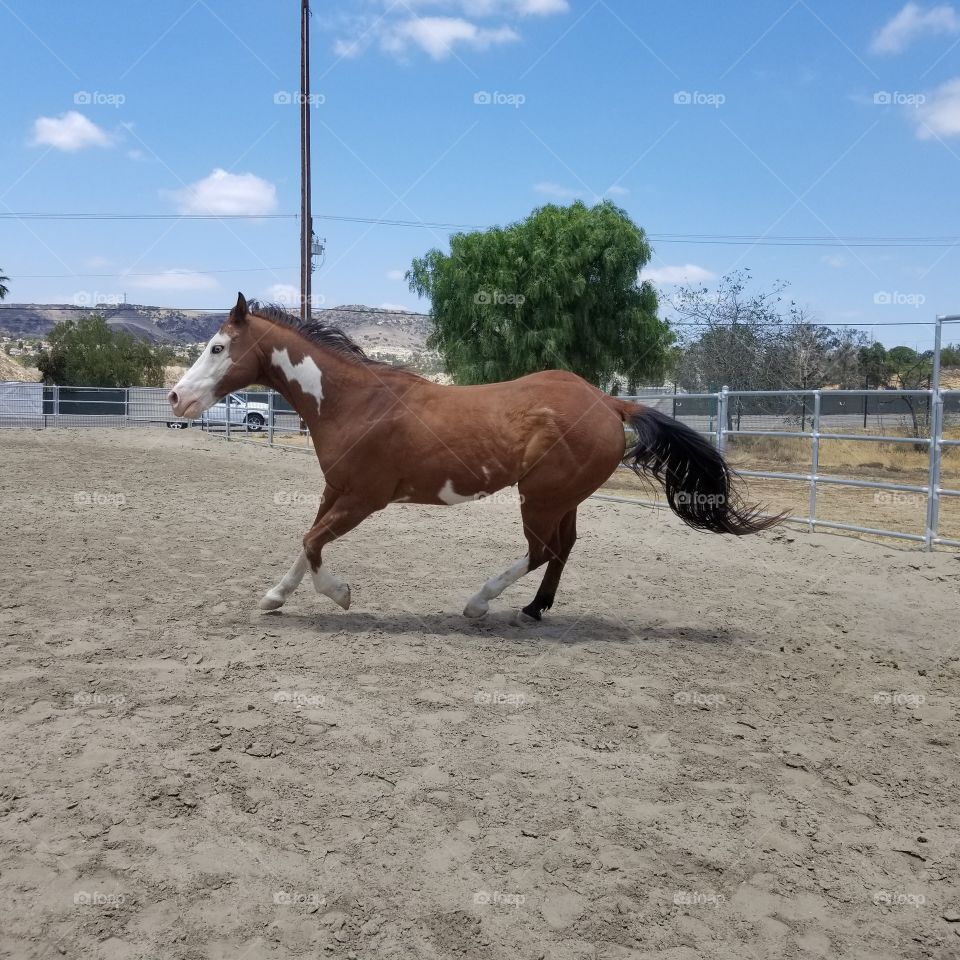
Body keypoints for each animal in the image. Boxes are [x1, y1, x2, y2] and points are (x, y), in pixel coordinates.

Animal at [169, 294, 776, 624]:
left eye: (218, 348)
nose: (176, 398)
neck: (353, 402)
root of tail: (608, 401)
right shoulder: (335, 491)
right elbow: (306, 542)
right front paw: (274, 597)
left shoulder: (364, 499)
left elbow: (314, 542)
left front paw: (340, 595)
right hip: (562, 498)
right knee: (562, 549)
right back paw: (533, 609)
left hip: (539, 498)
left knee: (541, 550)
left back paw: (478, 604)